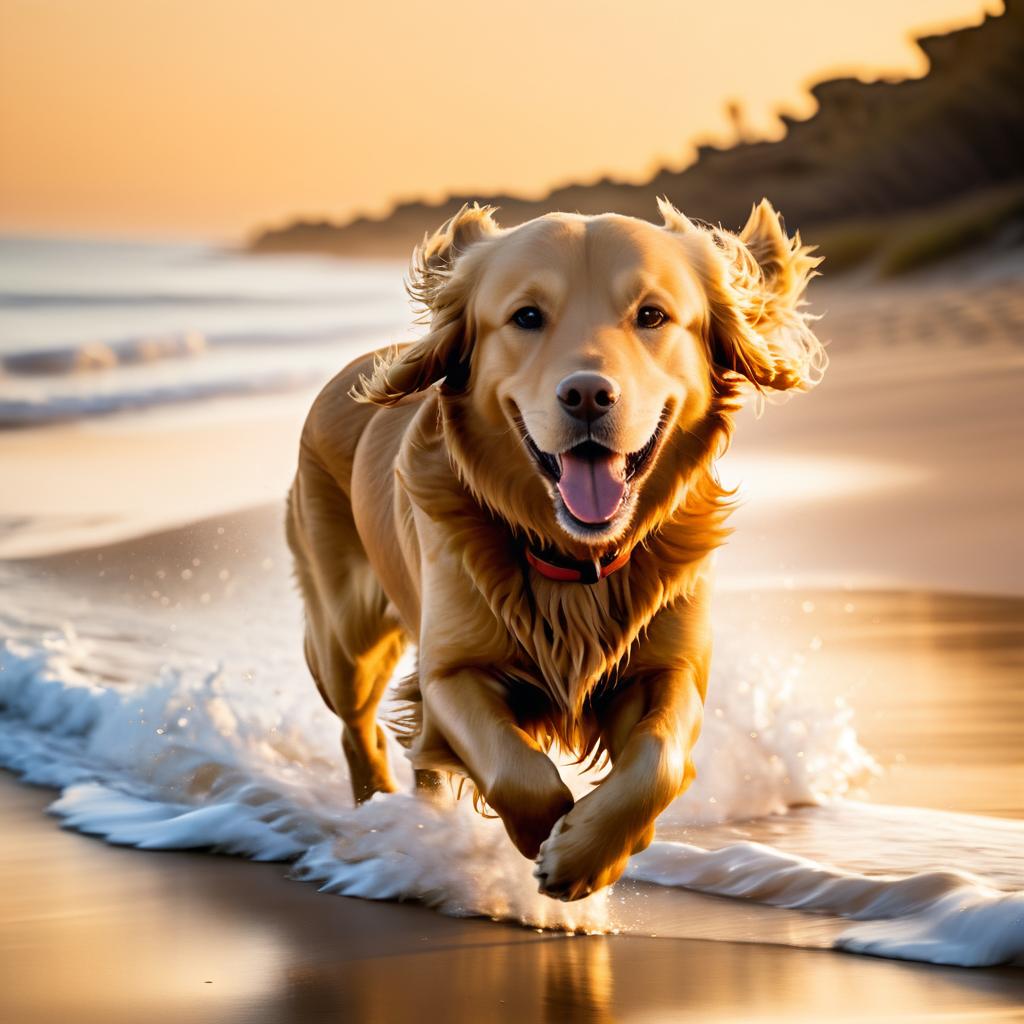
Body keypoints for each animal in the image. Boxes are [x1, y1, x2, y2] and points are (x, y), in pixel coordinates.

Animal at [286, 197, 823, 897]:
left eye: (651, 315)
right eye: (526, 317)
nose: (588, 394)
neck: (577, 561)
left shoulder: (670, 669)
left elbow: (660, 760)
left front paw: (592, 853)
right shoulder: (451, 670)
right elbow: (516, 769)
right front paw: (547, 840)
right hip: (345, 639)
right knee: (361, 729)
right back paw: (380, 817)